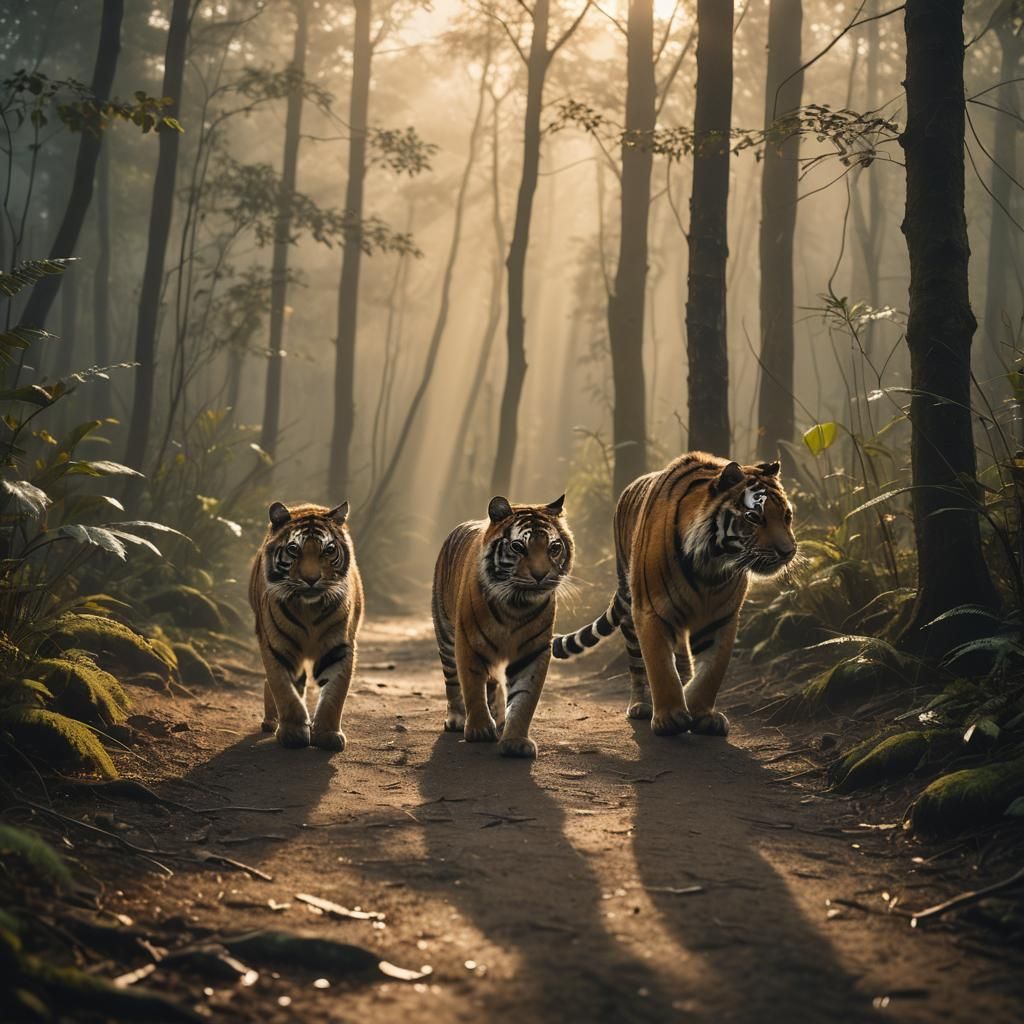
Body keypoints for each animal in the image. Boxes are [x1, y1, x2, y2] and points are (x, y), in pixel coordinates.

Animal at [248, 501, 363, 751]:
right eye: (294, 549)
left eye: (328, 550)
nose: (311, 579)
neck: (309, 609)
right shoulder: (276, 646)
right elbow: (283, 689)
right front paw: (293, 733)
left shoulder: (339, 647)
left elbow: (335, 694)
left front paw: (327, 734)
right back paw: (271, 722)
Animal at [432, 494, 574, 759]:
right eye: (518, 547)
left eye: (554, 548)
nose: (540, 575)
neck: (516, 605)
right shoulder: (468, 642)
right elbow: (472, 686)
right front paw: (479, 730)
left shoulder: (533, 651)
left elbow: (524, 698)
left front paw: (515, 740)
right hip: (446, 636)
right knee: (453, 681)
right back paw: (458, 719)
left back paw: (498, 720)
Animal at [552, 453, 796, 737]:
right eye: (754, 517)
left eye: (787, 516)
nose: (788, 551)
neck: (712, 563)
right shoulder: (650, 611)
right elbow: (660, 667)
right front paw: (670, 718)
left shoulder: (721, 618)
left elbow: (711, 672)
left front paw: (701, 713)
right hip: (631, 609)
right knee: (637, 664)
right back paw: (641, 705)